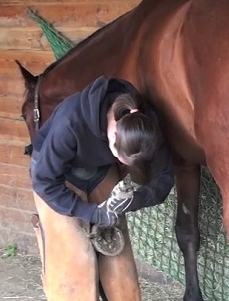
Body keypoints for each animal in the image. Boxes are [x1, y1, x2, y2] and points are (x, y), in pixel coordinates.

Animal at [16, 0, 229, 298]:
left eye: (24, 114)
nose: (32, 152)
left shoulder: (180, 161)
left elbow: (184, 232)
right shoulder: (187, 163)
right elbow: (190, 233)